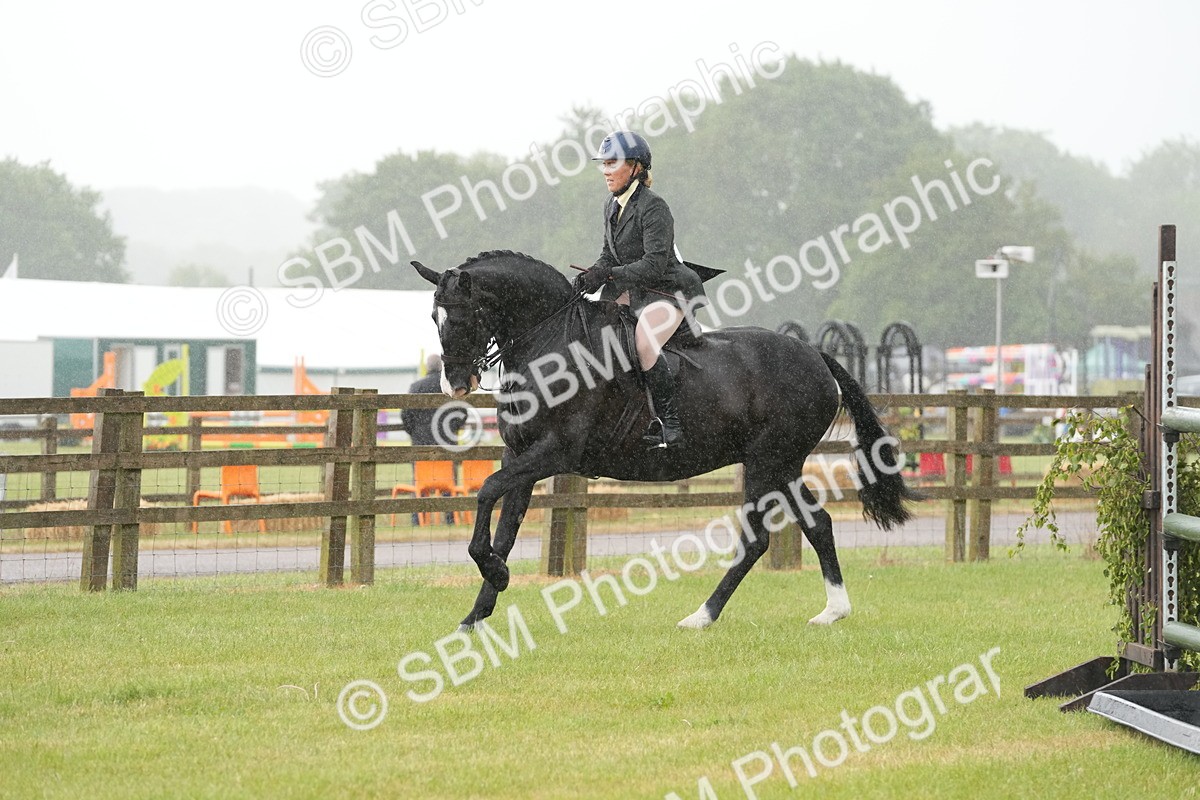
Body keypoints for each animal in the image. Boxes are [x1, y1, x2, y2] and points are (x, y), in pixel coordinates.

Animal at [411, 250, 919, 631]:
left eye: (461, 317)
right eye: (434, 317)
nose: (455, 384)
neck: (551, 344)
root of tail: (813, 353)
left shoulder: (553, 453)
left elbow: (486, 493)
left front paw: (495, 575)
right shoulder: (521, 454)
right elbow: (506, 529)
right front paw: (477, 613)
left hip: (766, 461)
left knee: (756, 540)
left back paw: (702, 616)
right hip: (785, 465)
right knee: (818, 524)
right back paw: (833, 611)